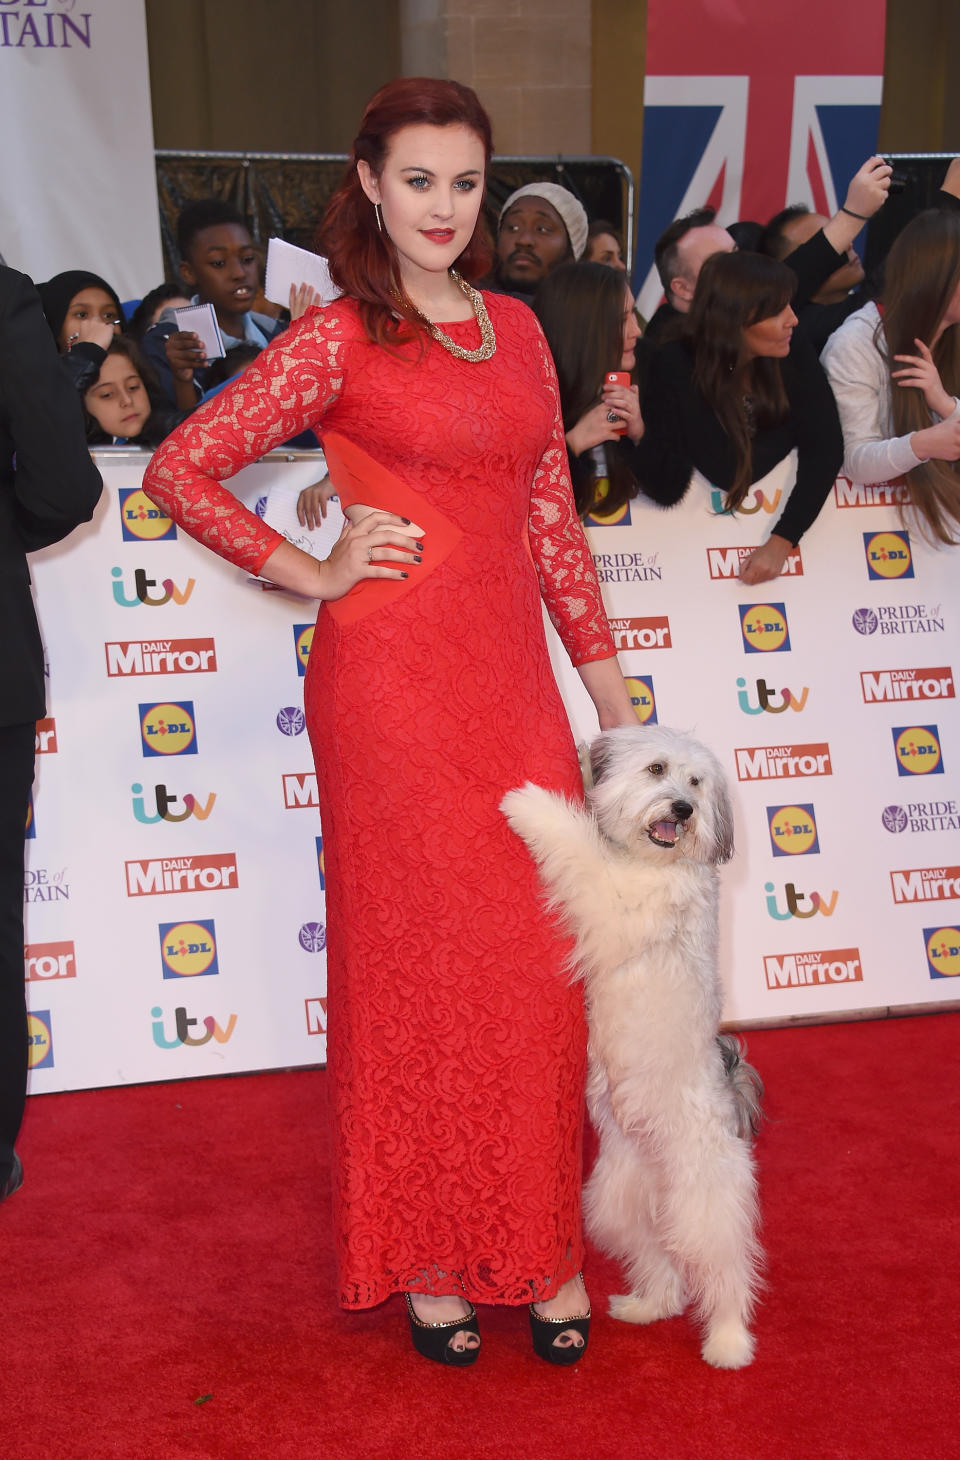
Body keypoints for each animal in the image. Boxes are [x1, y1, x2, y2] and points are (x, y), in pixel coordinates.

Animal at [501, 724, 764, 1372]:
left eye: (696, 782)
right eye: (657, 769)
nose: (683, 808)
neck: (653, 862)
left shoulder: (615, 906)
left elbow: (578, 847)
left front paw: (528, 805)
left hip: (705, 1204)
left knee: (727, 1274)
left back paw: (728, 1344)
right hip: (621, 1203)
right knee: (662, 1262)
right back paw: (646, 1307)